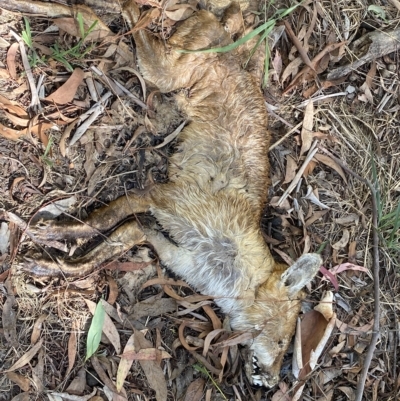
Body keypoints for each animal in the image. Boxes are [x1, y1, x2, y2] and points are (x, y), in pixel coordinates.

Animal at [22, 0, 322, 388]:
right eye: (285, 342)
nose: (273, 383)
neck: (224, 262)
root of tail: (227, 45)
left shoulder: (162, 241)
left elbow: (99, 252)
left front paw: (52, 264)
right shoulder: (158, 197)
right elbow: (95, 222)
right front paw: (55, 233)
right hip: (161, 72)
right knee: (128, 16)